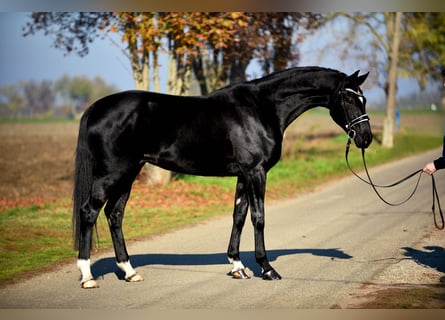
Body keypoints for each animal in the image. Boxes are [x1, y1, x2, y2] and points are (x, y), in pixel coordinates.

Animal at [73, 66, 372, 288]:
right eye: (348, 98)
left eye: (364, 98)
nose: (365, 138)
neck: (261, 107)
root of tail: (96, 108)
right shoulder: (256, 172)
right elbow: (258, 218)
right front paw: (267, 269)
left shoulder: (243, 175)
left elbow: (239, 215)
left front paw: (238, 266)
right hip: (112, 174)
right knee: (89, 211)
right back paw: (87, 276)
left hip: (128, 174)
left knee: (114, 215)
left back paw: (130, 271)